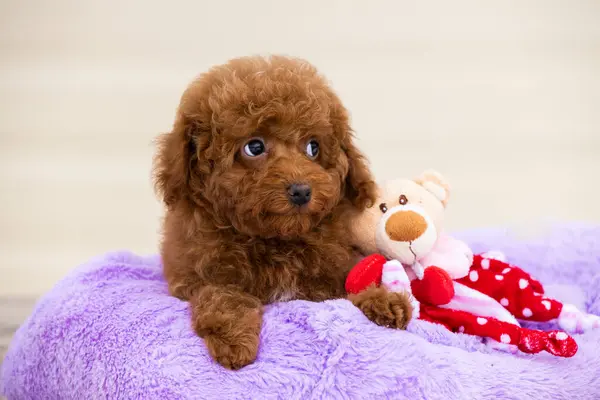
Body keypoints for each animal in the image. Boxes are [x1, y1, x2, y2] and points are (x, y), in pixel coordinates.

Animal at [154, 54, 412, 370]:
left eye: (313, 147)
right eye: (254, 147)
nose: (301, 190)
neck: (276, 240)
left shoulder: (331, 273)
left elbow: (351, 285)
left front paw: (383, 301)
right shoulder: (196, 277)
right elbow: (222, 296)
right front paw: (234, 340)